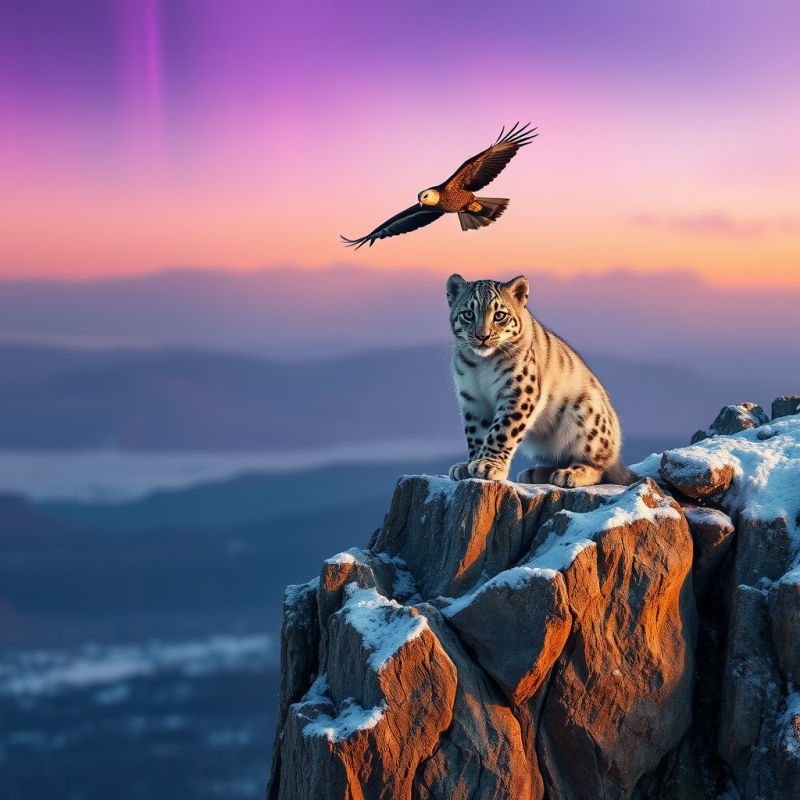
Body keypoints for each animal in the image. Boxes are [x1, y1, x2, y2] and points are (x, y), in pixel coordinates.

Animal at [446, 273, 637, 487]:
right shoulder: (472, 398)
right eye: (468, 314)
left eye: (499, 315)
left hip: (586, 419)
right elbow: (475, 433)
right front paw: (469, 464)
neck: (480, 364)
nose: (482, 336)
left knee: (599, 465)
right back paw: (534, 473)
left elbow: (502, 430)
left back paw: (570, 474)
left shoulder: (519, 391)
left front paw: (487, 465)